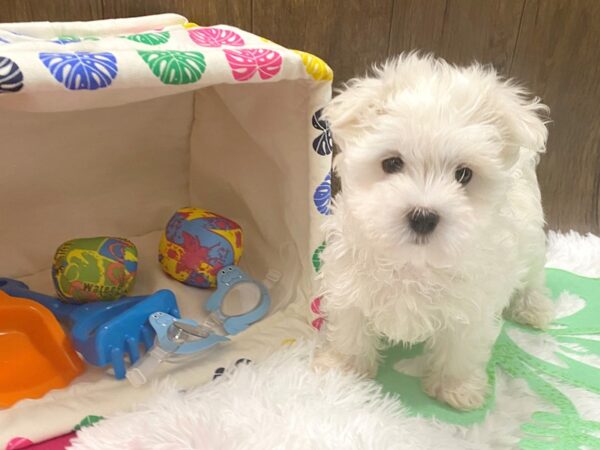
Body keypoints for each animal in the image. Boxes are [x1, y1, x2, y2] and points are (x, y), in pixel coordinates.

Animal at [316, 53, 556, 412]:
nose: (423, 217)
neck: (415, 261)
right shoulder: (350, 284)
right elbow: (351, 327)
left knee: (533, 277)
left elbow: (461, 347)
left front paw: (456, 389)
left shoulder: (472, 305)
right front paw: (343, 368)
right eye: (392, 163)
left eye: (464, 174)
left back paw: (534, 309)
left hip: (531, 242)